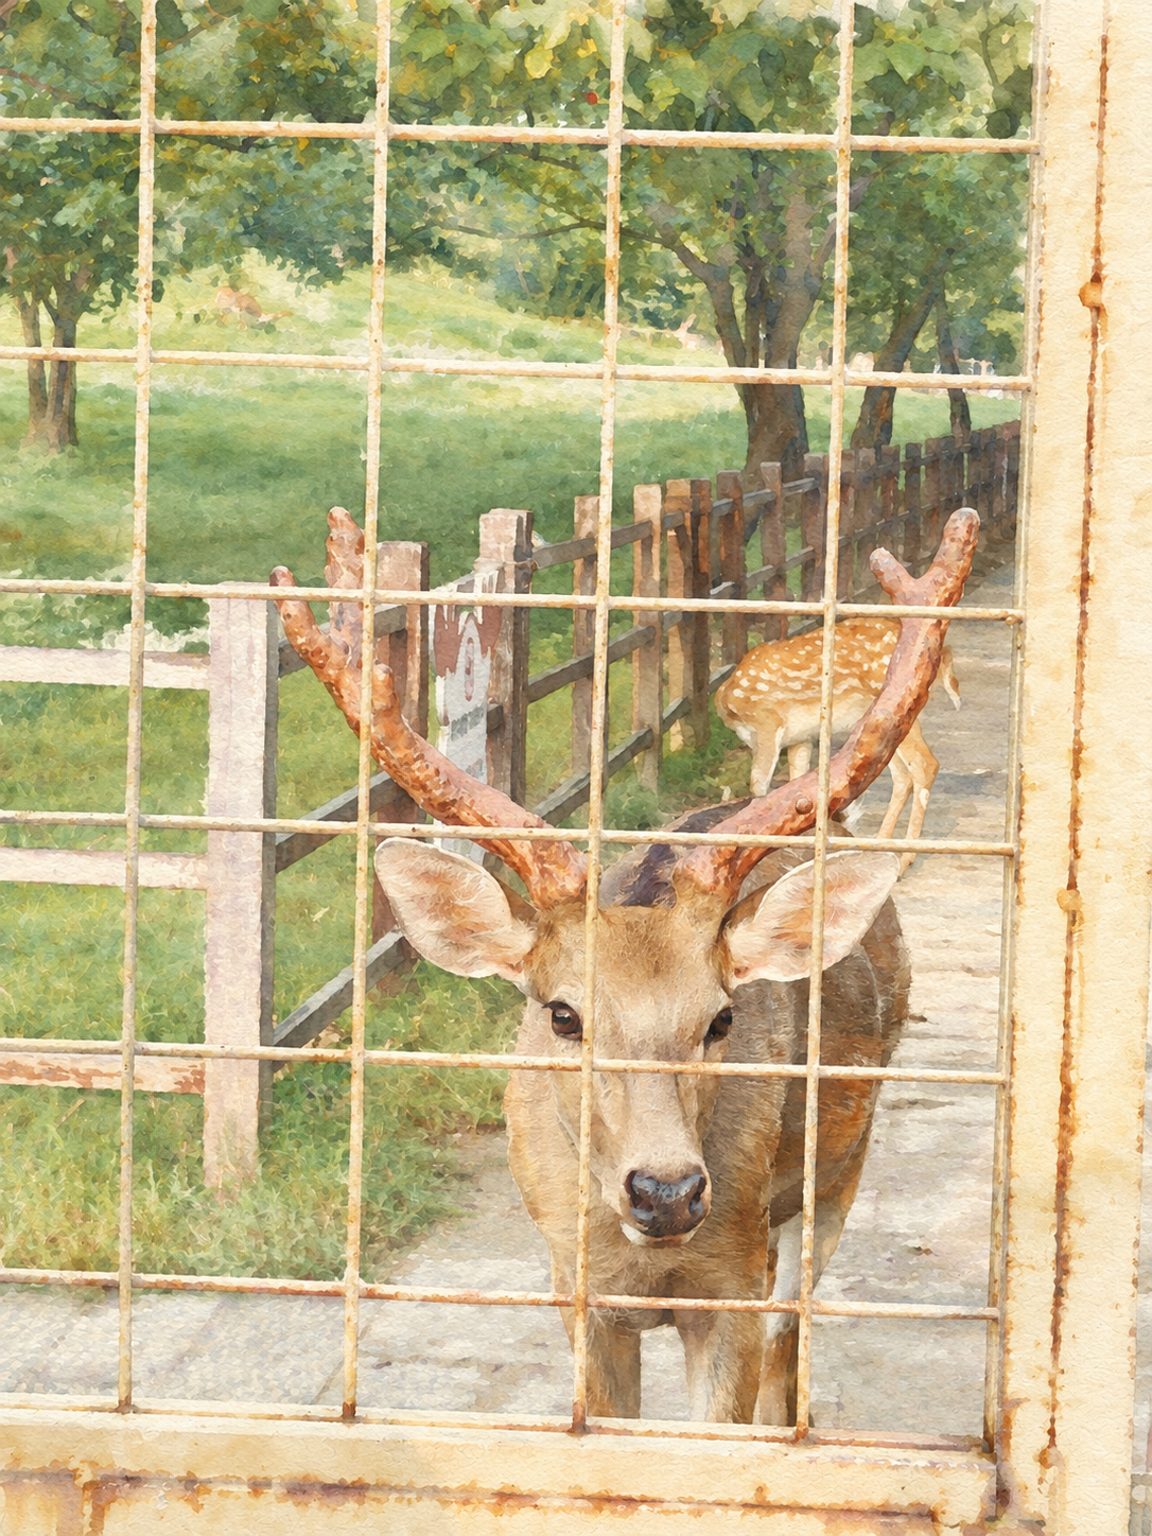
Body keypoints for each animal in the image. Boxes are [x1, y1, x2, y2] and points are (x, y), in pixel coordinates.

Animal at [715, 618, 962, 871]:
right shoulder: (801, 738)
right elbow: (795, 792)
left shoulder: (767, 723)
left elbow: (759, 787)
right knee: (903, 775)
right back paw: (880, 847)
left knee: (925, 765)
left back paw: (905, 860)